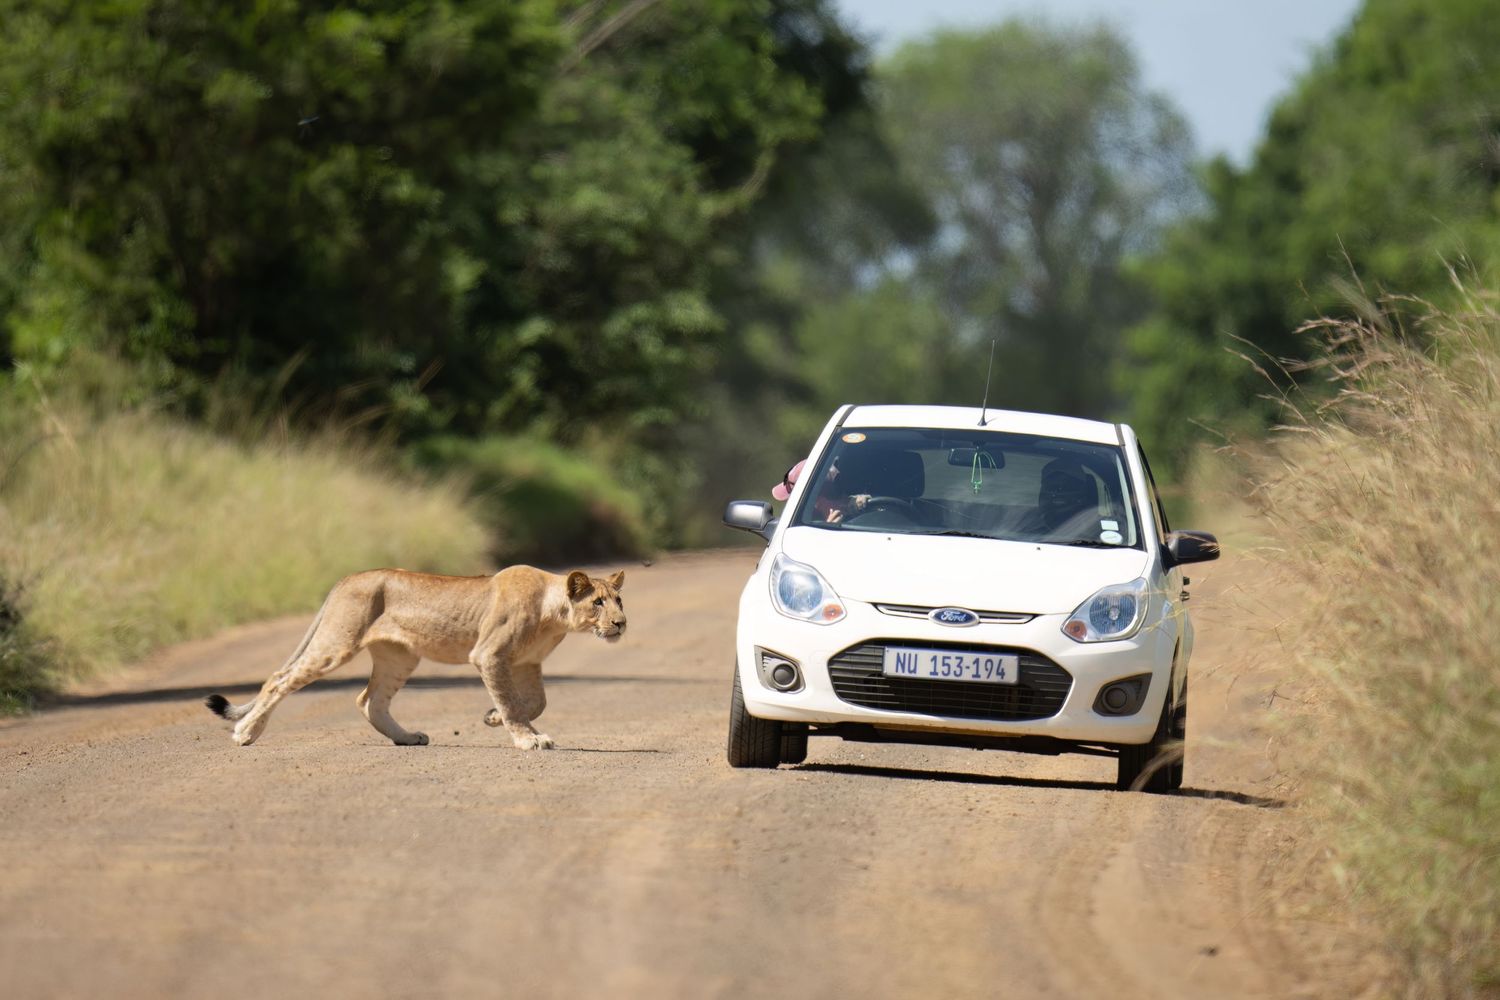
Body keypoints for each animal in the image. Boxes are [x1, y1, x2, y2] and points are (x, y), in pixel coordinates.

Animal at [204, 566, 625, 749]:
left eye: (619, 601)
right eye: (597, 602)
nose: (621, 623)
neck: (554, 614)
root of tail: (346, 578)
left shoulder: (526, 663)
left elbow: (535, 702)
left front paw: (493, 718)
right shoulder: (488, 654)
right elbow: (512, 702)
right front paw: (526, 739)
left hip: (399, 658)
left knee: (369, 701)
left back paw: (407, 737)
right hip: (336, 643)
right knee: (277, 679)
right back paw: (246, 733)